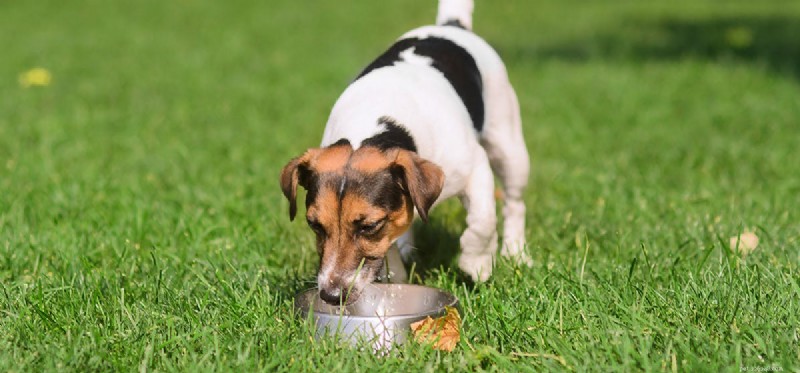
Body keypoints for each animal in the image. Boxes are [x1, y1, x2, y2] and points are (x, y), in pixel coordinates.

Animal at [282, 0, 532, 304]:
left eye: (369, 226)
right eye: (314, 225)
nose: (331, 296)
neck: (372, 124)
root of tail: (451, 25)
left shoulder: (475, 167)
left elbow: (483, 220)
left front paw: (477, 264)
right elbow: (389, 243)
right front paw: (396, 276)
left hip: (508, 144)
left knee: (513, 202)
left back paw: (515, 252)